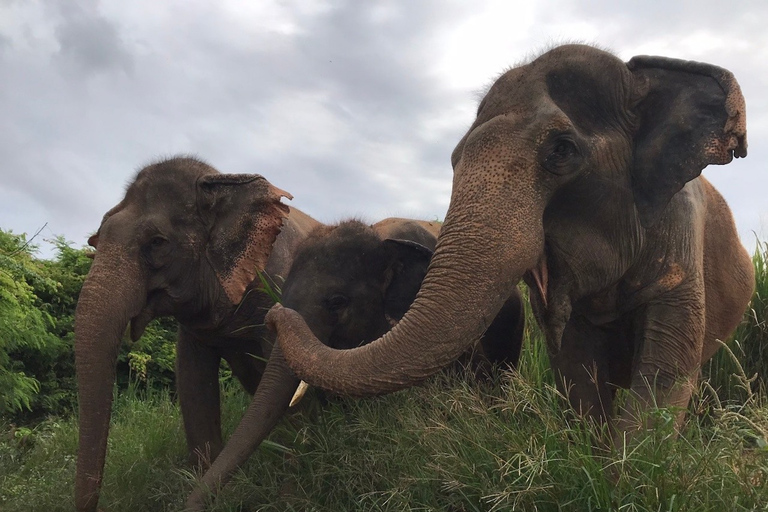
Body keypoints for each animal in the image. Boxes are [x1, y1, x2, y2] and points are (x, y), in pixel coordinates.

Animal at [72, 156, 318, 512]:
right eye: (96, 240)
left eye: (157, 242)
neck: (218, 181)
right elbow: (193, 383)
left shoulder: (280, 289)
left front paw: (290, 498)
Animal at [270, 45, 756, 440]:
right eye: (453, 159)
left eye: (561, 150)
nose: (275, 313)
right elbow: (577, 367)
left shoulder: (680, 238)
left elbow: (662, 375)